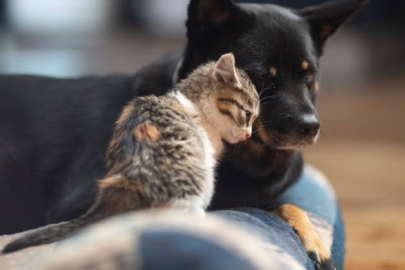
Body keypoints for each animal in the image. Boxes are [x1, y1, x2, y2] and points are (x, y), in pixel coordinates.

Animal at [2, 53, 258, 255]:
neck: (193, 102)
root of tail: (128, 180)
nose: (247, 135)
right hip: (195, 185)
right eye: (247, 114)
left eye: (254, 118)